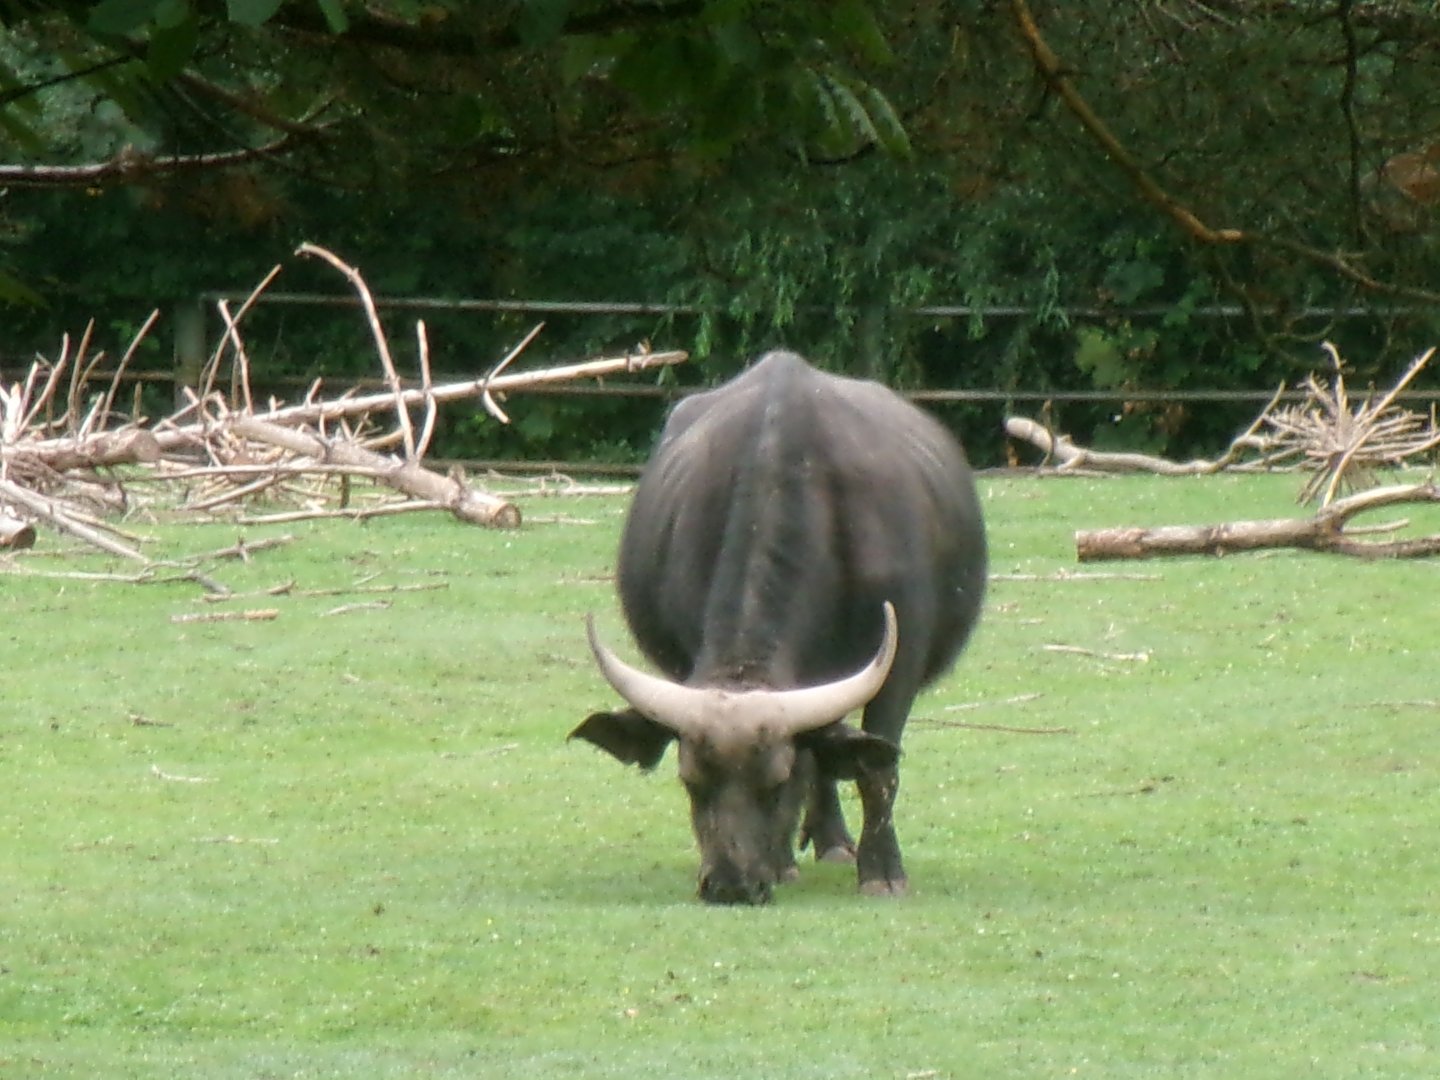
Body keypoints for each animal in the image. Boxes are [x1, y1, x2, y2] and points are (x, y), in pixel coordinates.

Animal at [571, 350, 987, 903]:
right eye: (690, 781)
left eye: (776, 783)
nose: (730, 885)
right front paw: (785, 861)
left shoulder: (901, 662)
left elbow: (875, 768)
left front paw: (882, 872)